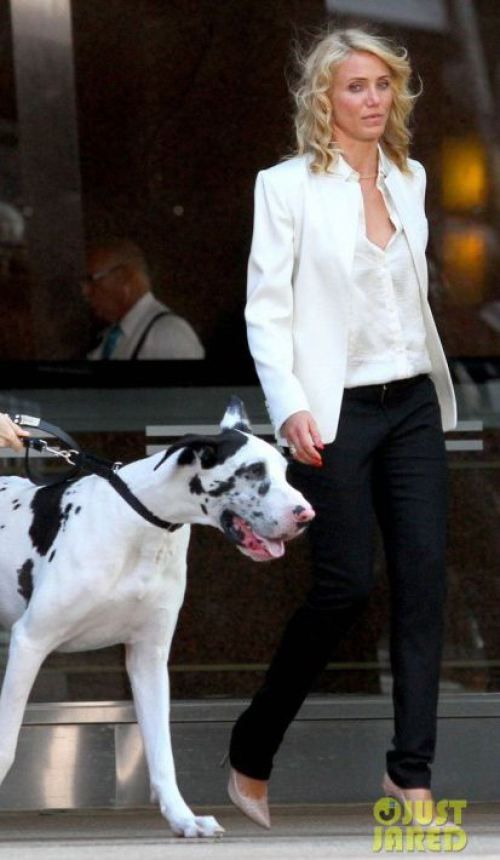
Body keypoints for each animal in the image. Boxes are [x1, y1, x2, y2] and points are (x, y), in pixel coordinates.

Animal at [0, 400, 312, 836]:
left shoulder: (148, 658)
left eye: (285, 470)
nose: (307, 514)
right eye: (253, 471)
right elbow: (6, 744)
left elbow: (162, 753)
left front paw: (184, 818)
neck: (139, 523)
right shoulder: (30, 642)